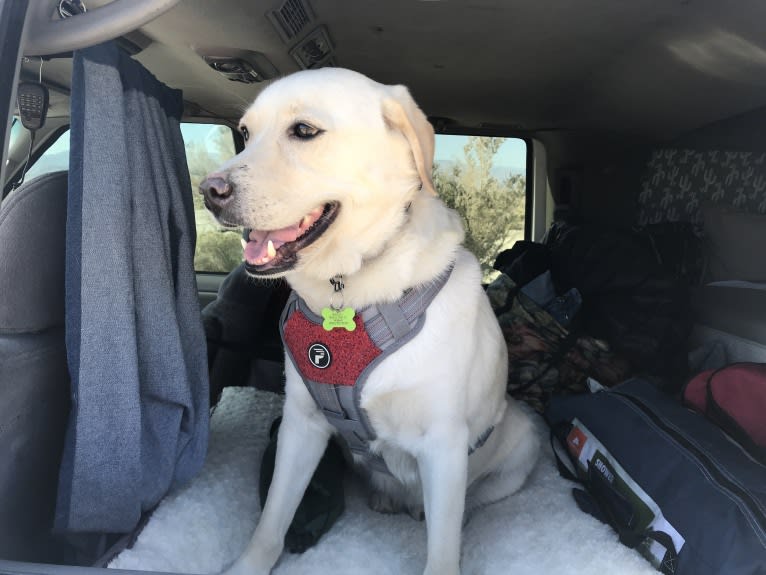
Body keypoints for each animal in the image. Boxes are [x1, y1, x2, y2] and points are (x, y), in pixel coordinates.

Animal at [201, 68, 544, 575]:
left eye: (304, 130)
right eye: (244, 133)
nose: (210, 191)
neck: (347, 292)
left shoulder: (443, 444)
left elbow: (442, 551)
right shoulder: (301, 424)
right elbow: (272, 518)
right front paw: (248, 566)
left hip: (523, 439)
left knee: (470, 501)